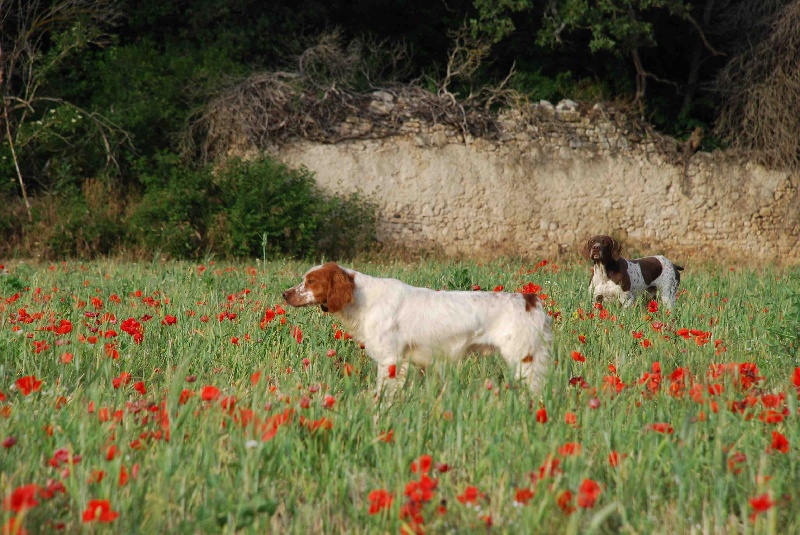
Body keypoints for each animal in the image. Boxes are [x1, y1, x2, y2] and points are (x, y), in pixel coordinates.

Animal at [284, 264, 552, 402]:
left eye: (310, 281)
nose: (284, 294)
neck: (363, 299)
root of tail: (530, 300)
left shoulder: (390, 359)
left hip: (525, 361)